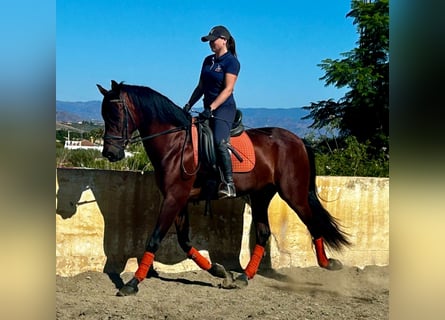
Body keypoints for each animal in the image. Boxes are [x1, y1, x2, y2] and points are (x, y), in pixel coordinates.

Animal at [97, 80, 350, 298]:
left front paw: (132, 283)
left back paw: (327, 263)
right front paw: (220, 272)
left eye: (116, 114)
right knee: (263, 233)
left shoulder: (174, 197)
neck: (175, 143)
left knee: (313, 224)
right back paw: (244, 277)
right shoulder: (178, 199)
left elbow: (155, 238)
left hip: (293, 194)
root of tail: (297, 140)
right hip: (261, 195)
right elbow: (184, 242)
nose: (110, 153)